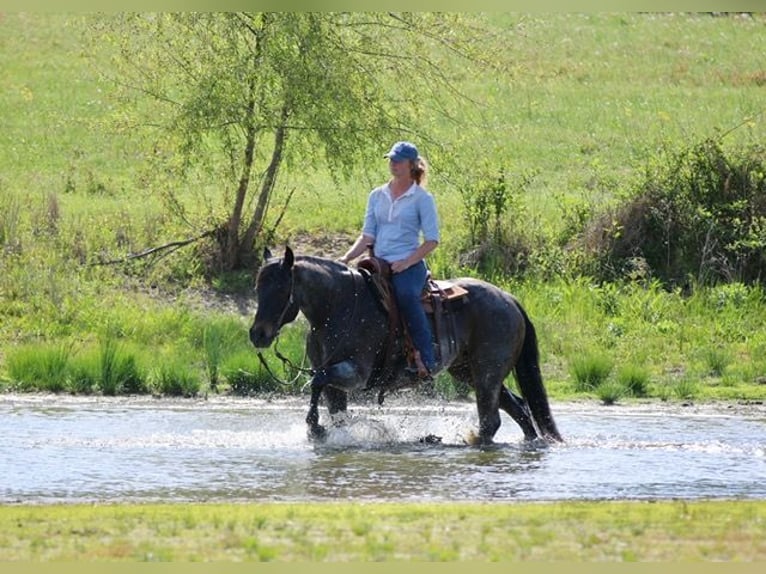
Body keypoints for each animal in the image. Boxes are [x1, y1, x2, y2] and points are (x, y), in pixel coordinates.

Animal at [249, 246, 562, 445]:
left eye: (281, 289)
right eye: (257, 287)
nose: (258, 335)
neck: (338, 307)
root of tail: (510, 300)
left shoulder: (355, 373)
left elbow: (316, 382)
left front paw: (316, 427)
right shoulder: (334, 378)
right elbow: (332, 405)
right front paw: (326, 431)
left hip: (487, 373)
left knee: (491, 420)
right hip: (470, 372)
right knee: (520, 409)